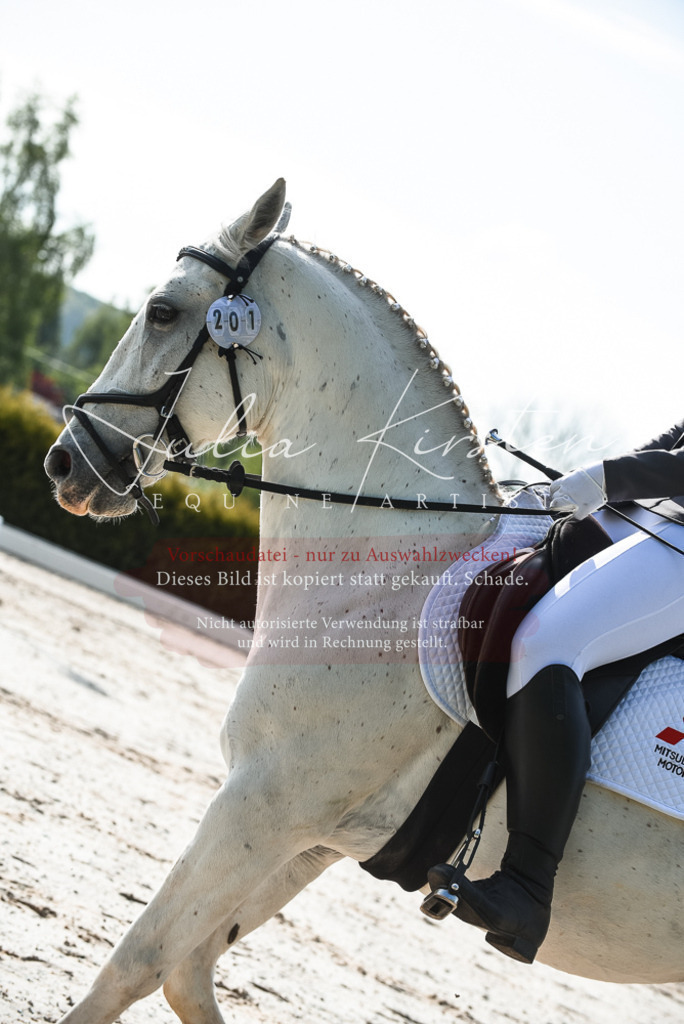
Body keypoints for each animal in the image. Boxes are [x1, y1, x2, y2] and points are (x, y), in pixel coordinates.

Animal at [44, 179, 684, 1024]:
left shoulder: (263, 802)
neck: (388, 580)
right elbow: (188, 971)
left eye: (163, 311)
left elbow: (133, 964)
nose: (64, 462)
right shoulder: (313, 832)